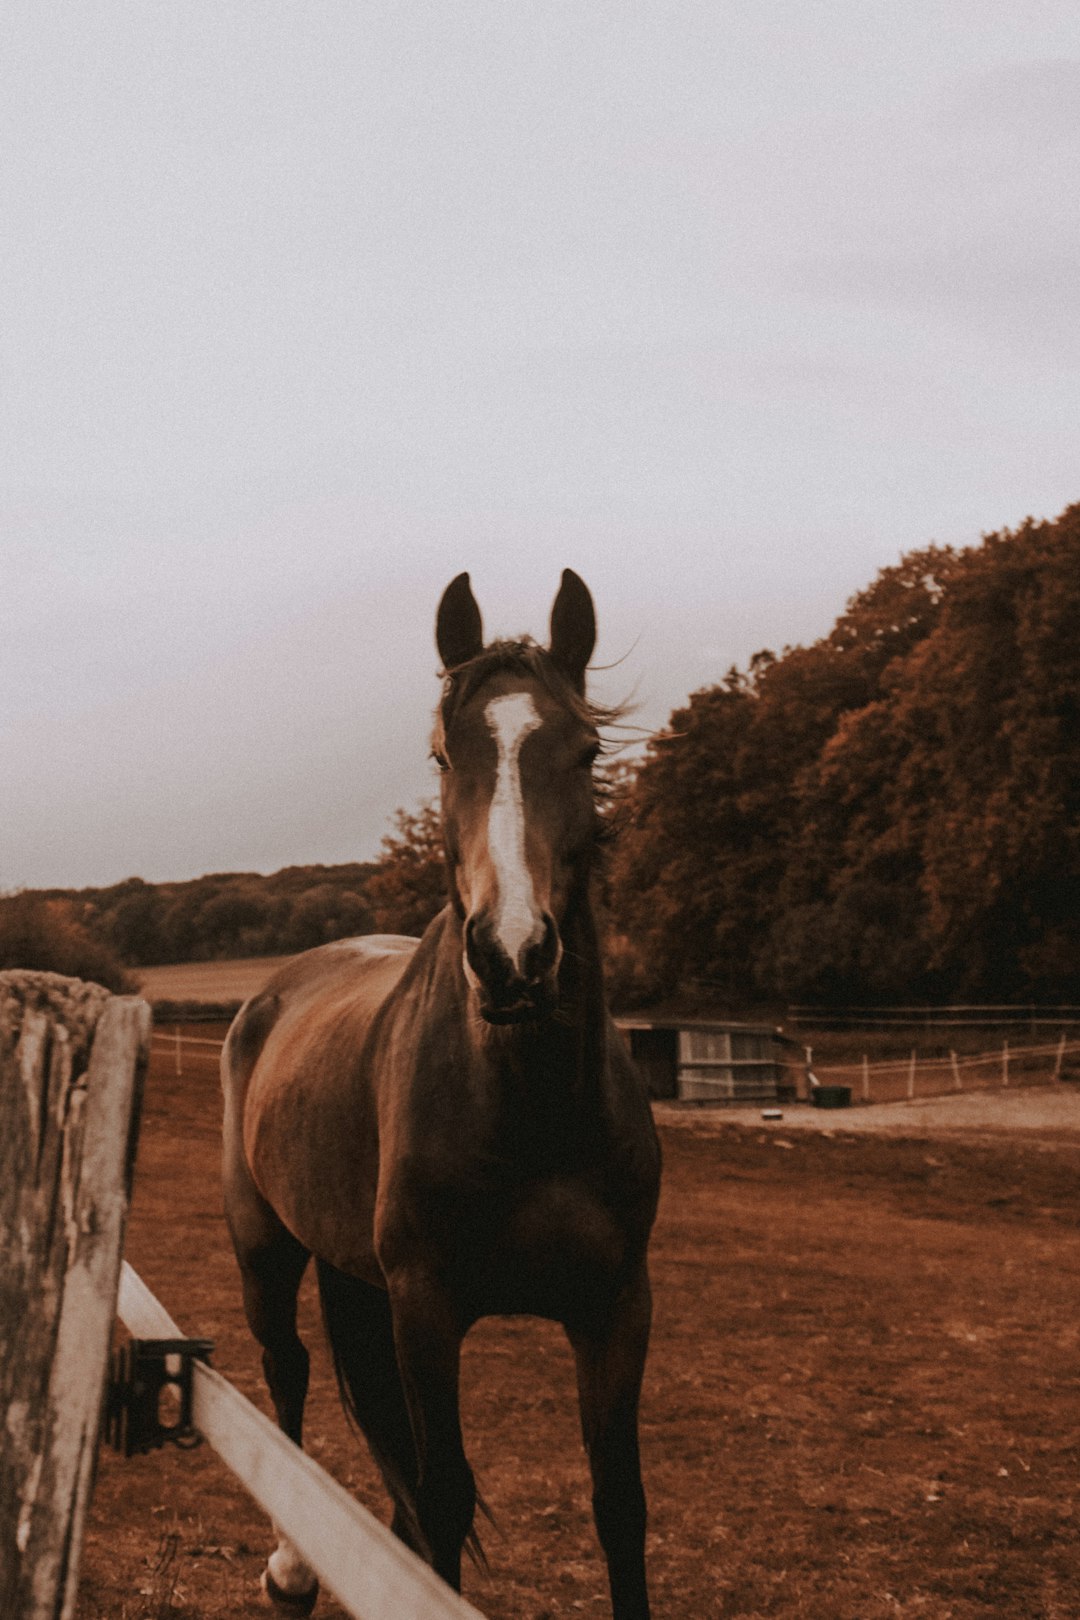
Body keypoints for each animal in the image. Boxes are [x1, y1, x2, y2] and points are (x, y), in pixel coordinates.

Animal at [221, 567, 660, 1607]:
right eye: (440, 754)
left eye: (585, 751)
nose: (512, 955)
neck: (533, 1114)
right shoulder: (426, 1309)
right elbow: (446, 1496)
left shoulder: (617, 1307)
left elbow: (619, 1507)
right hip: (265, 1251)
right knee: (286, 1377)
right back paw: (291, 1568)